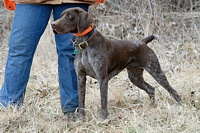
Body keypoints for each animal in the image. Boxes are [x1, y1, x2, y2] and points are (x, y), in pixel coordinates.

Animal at [51, 7, 181, 119]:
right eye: (61, 15)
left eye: (69, 16)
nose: (53, 24)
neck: (85, 45)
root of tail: (142, 42)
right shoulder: (80, 78)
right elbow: (81, 102)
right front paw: (81, 118)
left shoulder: (102, 79)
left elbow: (103, 102)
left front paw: (103, 119)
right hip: (135, 77)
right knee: (151, 89)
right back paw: (153, 106)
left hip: (155, 71)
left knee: (172, 90)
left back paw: (180, 104)